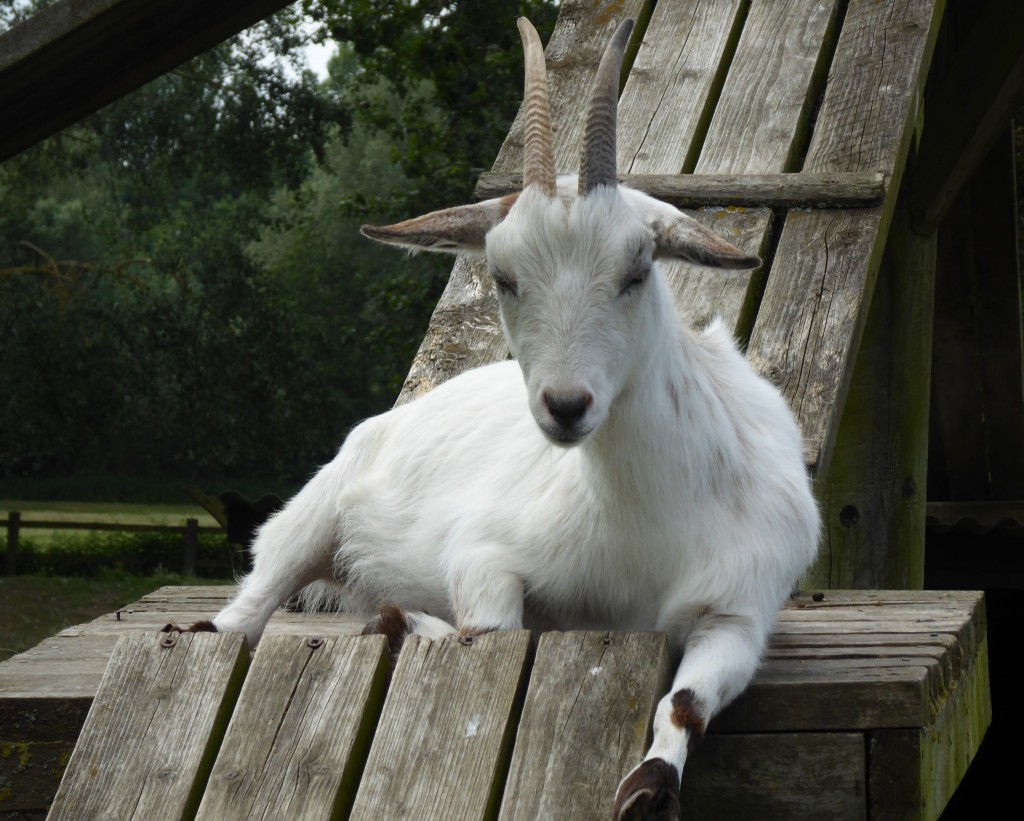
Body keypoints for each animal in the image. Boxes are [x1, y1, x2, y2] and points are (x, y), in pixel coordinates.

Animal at [172, 17, 819, 810]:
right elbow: (493, 629)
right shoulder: (483, 553)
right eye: (504, 277)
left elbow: (686, 702)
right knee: (237, 617)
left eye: (637, 269)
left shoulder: (740, 612)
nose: (566, 406)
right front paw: (427, 626)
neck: (646, 523)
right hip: (306, 525)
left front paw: (647, 790)